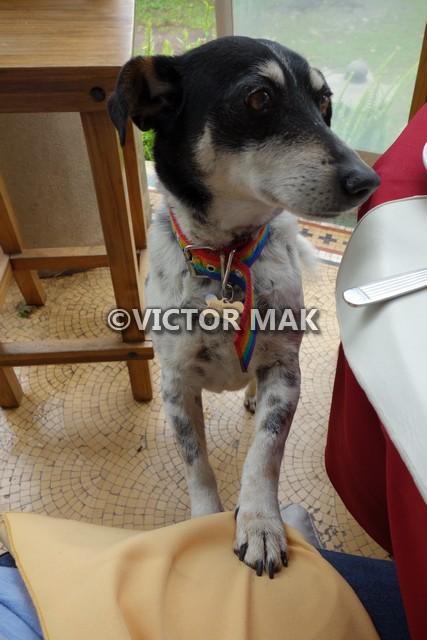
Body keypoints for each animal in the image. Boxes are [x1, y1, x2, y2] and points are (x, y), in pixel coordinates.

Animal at [108, 36, 380, 579]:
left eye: (324, 103)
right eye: (258, 97)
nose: (369, 180)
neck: (227, 258)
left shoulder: (285, 371)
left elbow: (265, 452)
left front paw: (260, 524)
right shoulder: (176, 385)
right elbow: (198, 464)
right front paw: (204, 523)